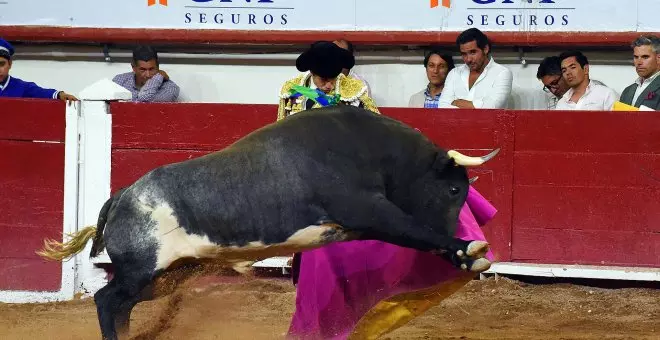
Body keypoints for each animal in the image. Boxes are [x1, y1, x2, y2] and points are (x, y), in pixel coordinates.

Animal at [38, 105, 498, 338]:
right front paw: (469, 251)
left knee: (121, 305)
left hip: (165, 277)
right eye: (453, 190)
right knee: (107, 301)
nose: (457, 229)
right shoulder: (367, 208)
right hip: (141, 270)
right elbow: (415, 230)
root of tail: (121, 196)